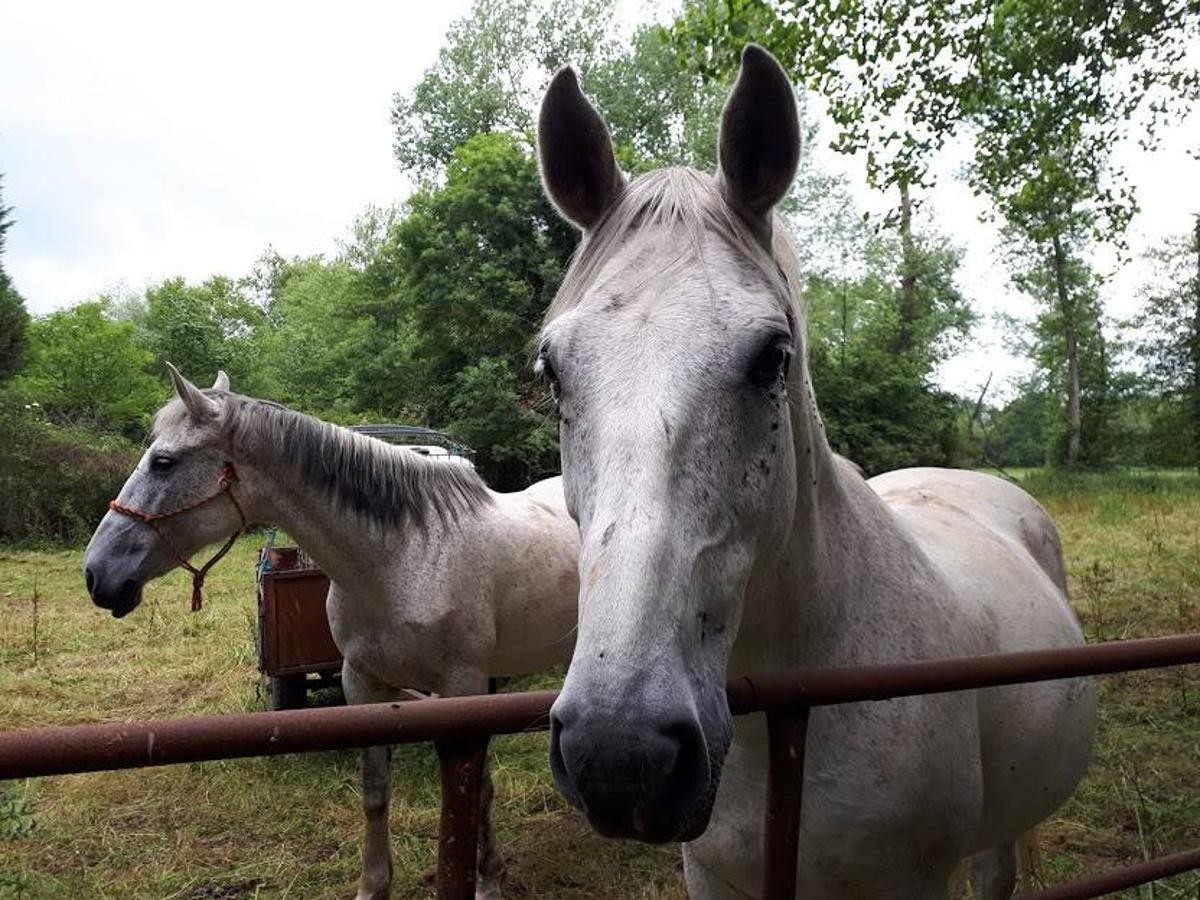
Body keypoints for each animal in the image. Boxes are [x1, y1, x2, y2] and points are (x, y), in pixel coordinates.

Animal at [82, 367, 578, 900]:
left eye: (164, 462)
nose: (96, 573)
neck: (405, 555)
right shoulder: (363, 687)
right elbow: (376, 793)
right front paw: (374, 886)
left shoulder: (464, 689)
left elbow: (475, 790)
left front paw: (487, 881)